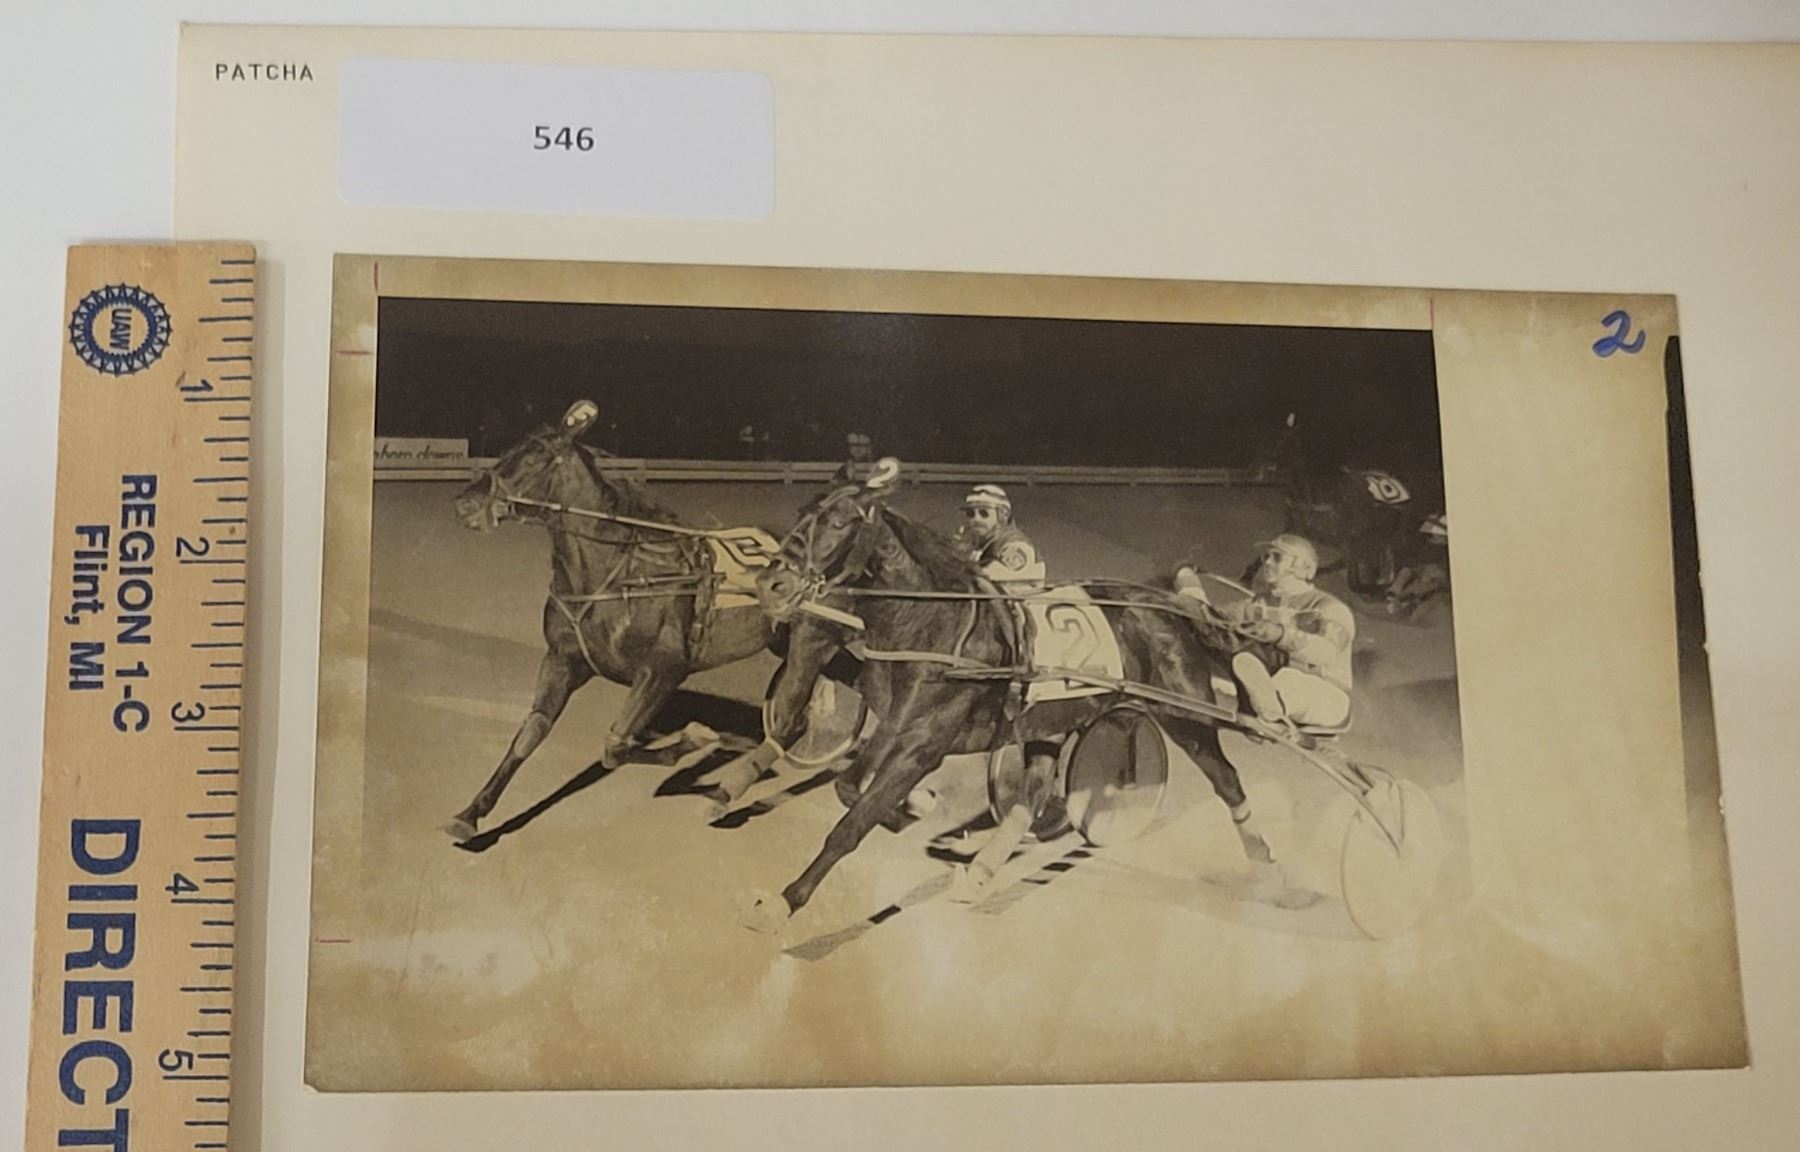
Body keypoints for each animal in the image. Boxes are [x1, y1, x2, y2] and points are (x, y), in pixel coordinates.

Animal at [442, 399, 783, 841]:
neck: (619, 574)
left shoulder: (664, 670)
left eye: (533, 456)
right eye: (508, 449)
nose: (465, 505)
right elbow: (530, 733)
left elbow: (615, 748)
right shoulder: (563, 659)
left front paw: (697, 737)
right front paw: (471, 813)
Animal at [741, 460, 1278, 931]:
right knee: (1033, 794)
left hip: (1183, 713)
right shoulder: (895, 724)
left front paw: (785, 902)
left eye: (836, 522)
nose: (771, 583)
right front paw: (912, 804)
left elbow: (851, 823)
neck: (934, 624)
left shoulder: (921, 742)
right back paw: (979, 874)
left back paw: (1265, 861)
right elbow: (849, 786)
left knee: (1227, 779)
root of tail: (1169, 603)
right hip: (1052, 719)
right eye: (802, 513)